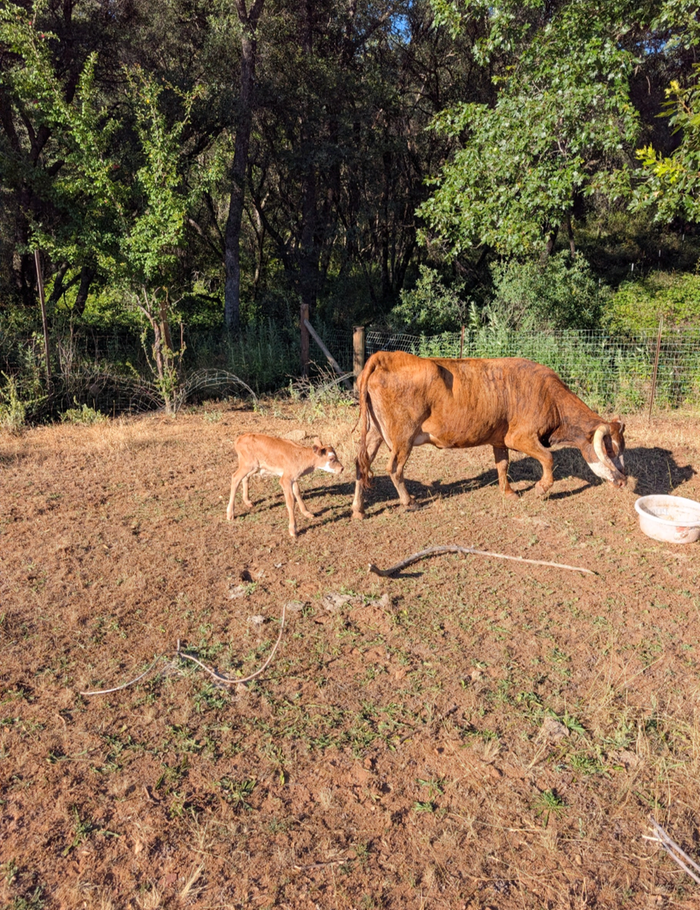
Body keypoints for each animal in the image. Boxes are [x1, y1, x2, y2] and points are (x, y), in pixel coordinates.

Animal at [352, 351, 626, 518]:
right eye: (609, 449)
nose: (624, 480)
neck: (550, 396)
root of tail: (385, 356)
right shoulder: (520, 437)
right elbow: (549, 458)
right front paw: (541, 488)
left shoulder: (500, 440)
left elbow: (502, 465)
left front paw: (508, 492)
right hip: (403, 437)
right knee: (394, 468)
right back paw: (409, 502)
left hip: (375, 432)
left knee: (360, 465)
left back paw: (358, 509)